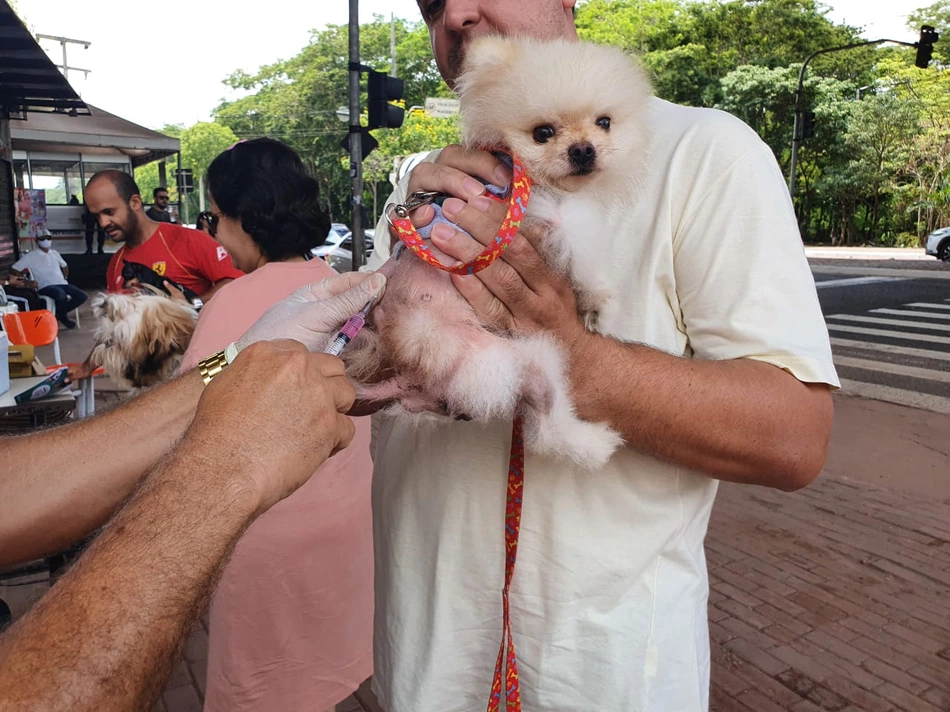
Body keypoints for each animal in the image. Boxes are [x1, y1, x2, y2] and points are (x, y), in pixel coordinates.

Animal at [350, 37, 656, 468]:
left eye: (604, 122)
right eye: (543, 133)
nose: (583, 150)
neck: (521, 171)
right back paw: (595, 444)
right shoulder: (552, 217)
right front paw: (600, 303)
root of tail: (410, 364)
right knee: (548, 428)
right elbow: (586, 257)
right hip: (522, 360)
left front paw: (589, 308)